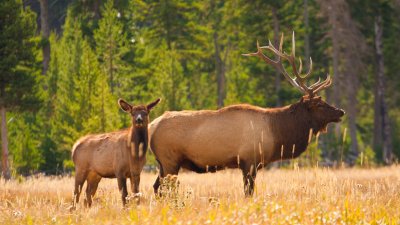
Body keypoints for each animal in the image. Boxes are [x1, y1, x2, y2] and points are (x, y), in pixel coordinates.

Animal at [148, 32, 346, 196]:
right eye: (319, 104)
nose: (341, 111)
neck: (278, 132)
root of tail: (151, 126)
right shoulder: (249, 160)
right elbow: (248, 192)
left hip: (163, 163)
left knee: (156, 187)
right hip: (170, 160)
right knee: (164, 189)